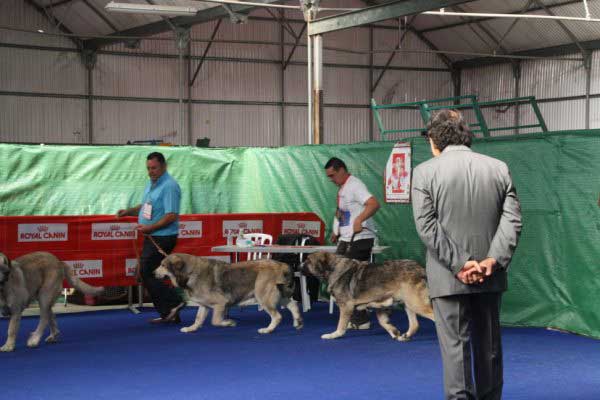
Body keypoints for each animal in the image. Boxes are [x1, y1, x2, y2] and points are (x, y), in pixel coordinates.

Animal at [155, 253, 304, 334]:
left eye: (163, 265)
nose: (153, 273)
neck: (191, 272)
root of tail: (282, 265)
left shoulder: (221, 303)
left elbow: (215, 321)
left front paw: (228, 323)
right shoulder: (204, 305)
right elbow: (198, 319)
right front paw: (191, 328)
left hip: (263, 296)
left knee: (277, 316)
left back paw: (268, 330)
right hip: (279, 294)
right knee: (293, 305)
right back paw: (298, 322)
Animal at [302, 252, 434, 340]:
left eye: (308, 261)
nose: (299, 267)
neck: (333, 268)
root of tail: (420, 269)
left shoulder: (346, 307)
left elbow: (341, 324)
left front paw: (334, 335)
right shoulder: (381, 306)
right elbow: (383, 322)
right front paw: (393, 331)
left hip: (416, 304)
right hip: (409, 304)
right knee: (414, 324)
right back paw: (405, 336)